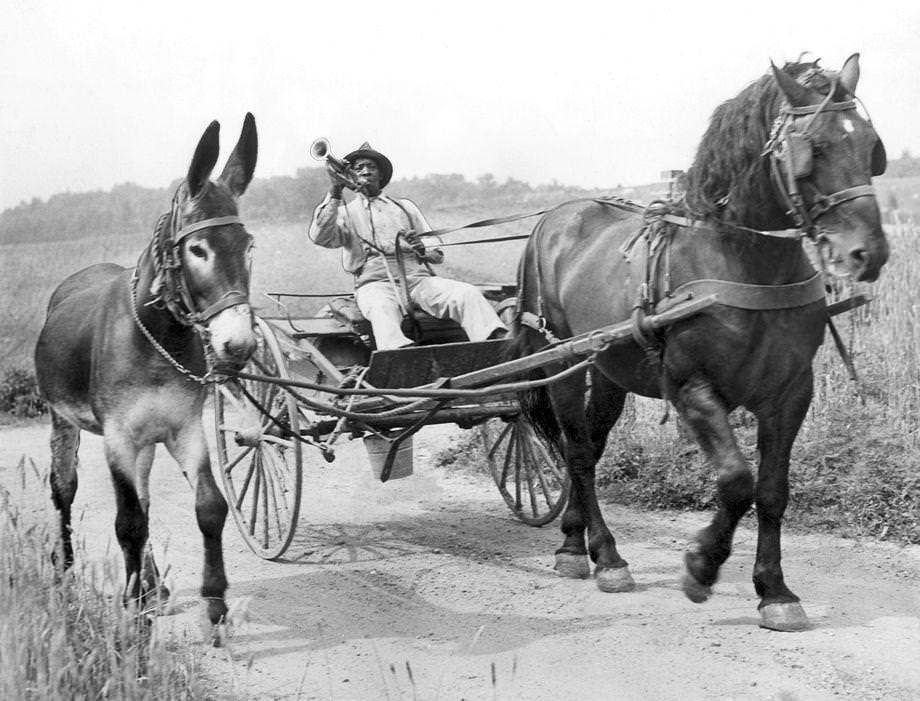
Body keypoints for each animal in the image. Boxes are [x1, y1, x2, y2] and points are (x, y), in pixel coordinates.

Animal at [35, 113, 258, 628]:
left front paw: (213, 602)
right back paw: (66, 573)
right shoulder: (118, 437)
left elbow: (208, 506)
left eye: (247, 245)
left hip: (147, 442)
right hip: (63, 421)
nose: (238, 345)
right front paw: (132, 612)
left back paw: (154, 585)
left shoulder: (184, 430)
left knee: (145, 496)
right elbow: (128, 522)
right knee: (64, 491)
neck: (158, 337)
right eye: (198, 249)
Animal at [510, 54, 892, 632]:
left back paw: (578, 544)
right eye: (815, 149)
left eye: (870, 145)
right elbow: (736, 481)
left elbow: (772, 491)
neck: (746, 263)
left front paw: (775, 591)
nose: (867, 253)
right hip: (565, 363)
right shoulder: (692, 387)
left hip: (611, 372)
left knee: (591, 450)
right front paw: (701, 566)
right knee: (576, 452)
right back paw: (605, 556)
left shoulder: (790, 394)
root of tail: (554, 217)